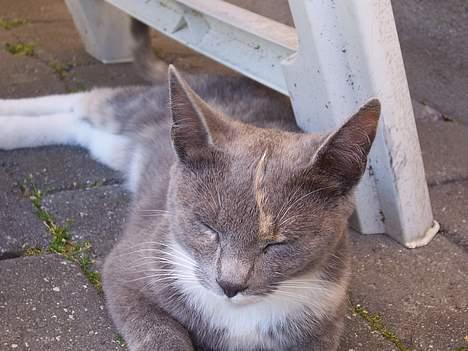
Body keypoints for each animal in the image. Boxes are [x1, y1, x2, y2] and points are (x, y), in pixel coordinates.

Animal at [0, 20, 378, 351]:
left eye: (278, 243)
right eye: (207, 227)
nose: (230, 284)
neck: (239, 318)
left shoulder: (326, 318)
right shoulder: (129, 266)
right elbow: (158, 330)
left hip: (112, 146)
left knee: (80, 127)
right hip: (134, 111)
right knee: (88, 100)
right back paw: (9, 123)